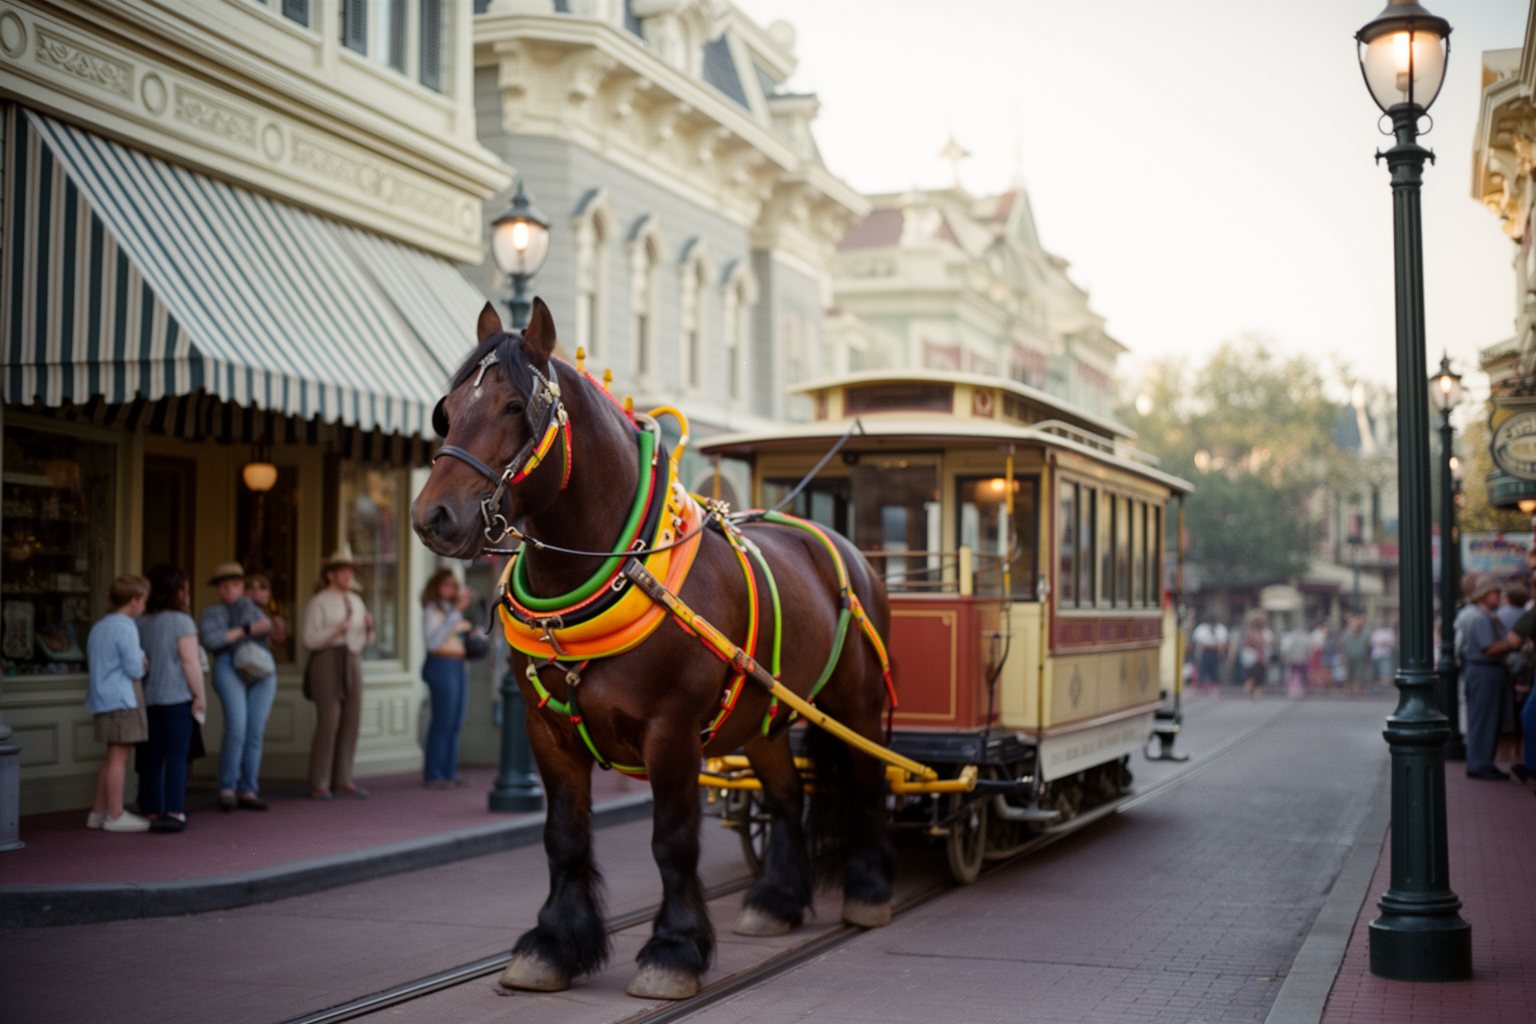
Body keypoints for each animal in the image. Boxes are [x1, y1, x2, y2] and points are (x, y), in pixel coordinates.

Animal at [411, 299, 895, 1000]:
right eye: (446, 410)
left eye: (514, 406)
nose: (434, 517)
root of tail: (845, 548)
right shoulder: (546, 731)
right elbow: (563, 836)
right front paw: (553, 946)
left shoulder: (672, 732)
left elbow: (673, 841)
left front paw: (674, 951)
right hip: (764, 717)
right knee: (786, 796)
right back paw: (775, 900)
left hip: (854, 704)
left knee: (865, 781)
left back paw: (869, 890)